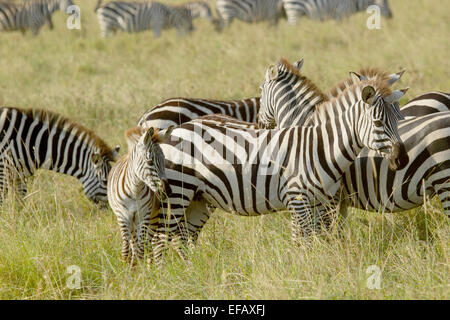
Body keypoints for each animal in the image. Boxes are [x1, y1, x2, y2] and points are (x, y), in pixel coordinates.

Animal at [106, 126, 173, 266]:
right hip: (131, 220)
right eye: (150, 161)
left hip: (153, 217)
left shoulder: (144, 215)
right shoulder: (123, 216)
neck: (134, 190)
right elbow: (126, 248)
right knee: (133, 243)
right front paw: (127, 268)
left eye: (164, 159)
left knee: (147, 244)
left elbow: (141, 248)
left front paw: (137, 268)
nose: (167, 191)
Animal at [142, 72, 408, 264]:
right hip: (177, 192)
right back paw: (164, 276)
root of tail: (174, 130)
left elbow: (316, 238)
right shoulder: (298, 199)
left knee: (183, 236)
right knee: (160, 239)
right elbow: (304, 240)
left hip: (199, 198)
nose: (402, 159)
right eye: (378, 122)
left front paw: (316, 266)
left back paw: (190, 271)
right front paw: (306, 271)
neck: (319, 146)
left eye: (400, 119)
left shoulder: (319, 202)